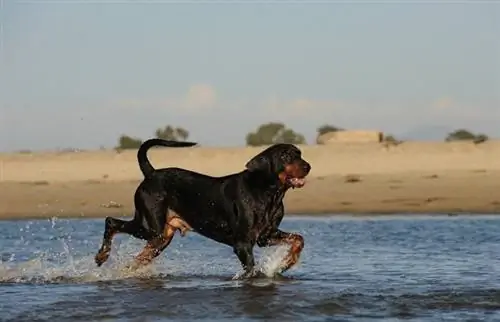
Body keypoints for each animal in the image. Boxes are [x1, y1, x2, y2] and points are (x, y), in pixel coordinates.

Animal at [95, 138, 310, 276]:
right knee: (111, 221)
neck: (268, 193)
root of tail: (151, 173)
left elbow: (298, 239)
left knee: (137, 257)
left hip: (161, 237)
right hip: (151, 228)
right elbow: (251, 271)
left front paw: (286, 263)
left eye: (299, 154)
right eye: (285, 156)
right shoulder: (243, 244)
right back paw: (101, 256)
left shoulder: (266, 236)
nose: (308, 166)